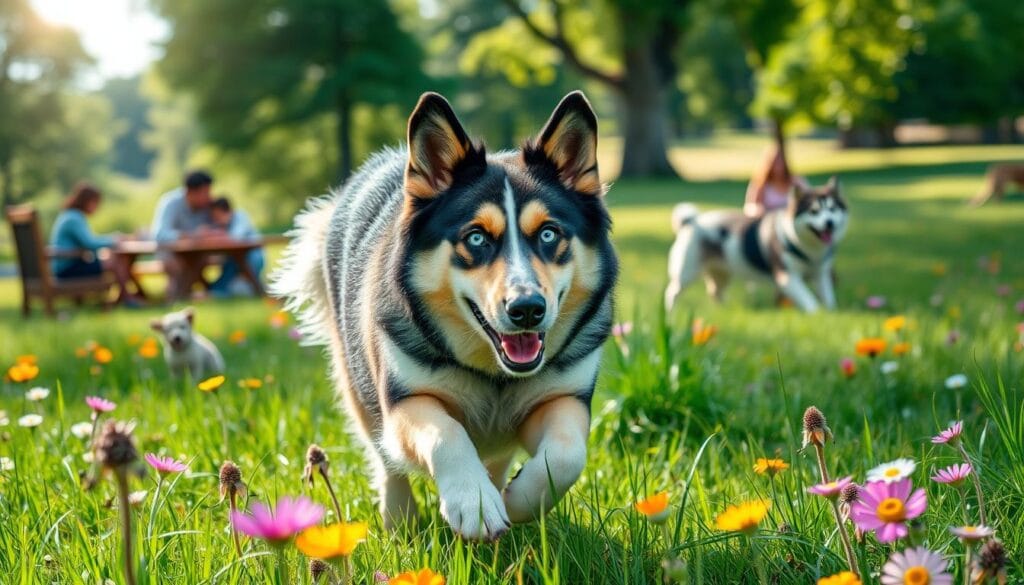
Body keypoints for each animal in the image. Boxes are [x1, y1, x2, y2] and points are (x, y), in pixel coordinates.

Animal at [272, 90, 614, 540]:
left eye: (548, 234)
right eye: (476, 238)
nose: (526, 309)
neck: (495, 375)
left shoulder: (564, 394)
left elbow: (567, 455)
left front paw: (517, 501)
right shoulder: (407, 398)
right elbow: (445, 434)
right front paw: (475, 501)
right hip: (356, 381)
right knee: (382, 453)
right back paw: (399, 518)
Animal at [663, 178, 847, 313]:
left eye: (832, 209)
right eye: (813, 211)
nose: (829, 223)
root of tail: (690, 221)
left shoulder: (821, 274)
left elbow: (829, 299)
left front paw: (831, 313)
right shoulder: (787, 277)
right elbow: (810, 300)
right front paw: (819, 314)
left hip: (721, 273)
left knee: (715, 292)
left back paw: (725, 310)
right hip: (686, 272)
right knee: (671, 293)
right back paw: (669, 315)